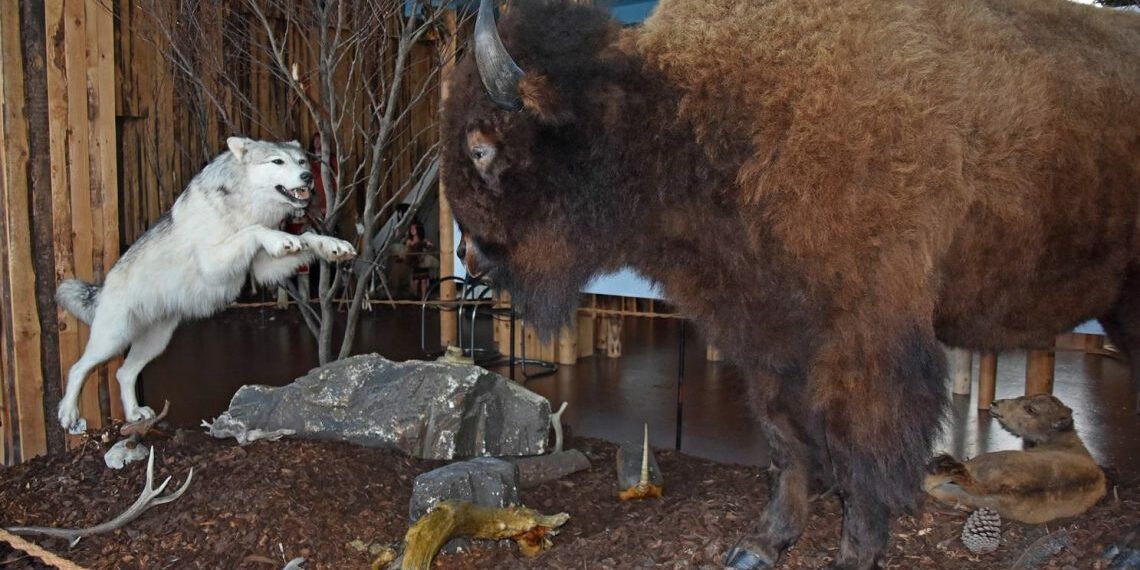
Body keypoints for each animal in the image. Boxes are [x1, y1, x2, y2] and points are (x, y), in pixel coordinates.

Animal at [53, 135, 353, 428]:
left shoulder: (262, 268)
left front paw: (332, 245)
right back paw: (68, 414)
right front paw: (280, 237)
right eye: (277, 161)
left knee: (123, 373)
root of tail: (102, 287)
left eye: (302, 161)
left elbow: (308, 237)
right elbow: (254, 230)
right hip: (112, 340)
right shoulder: (213, 262)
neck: (245, 203)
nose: (308, 177)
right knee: (77, 368)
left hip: (154, 343)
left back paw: (135, 414)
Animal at [440, 1, 1140, 565]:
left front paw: (856, 555)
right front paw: (762, 543)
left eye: (481, 146)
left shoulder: (863, 342)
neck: (697, 115)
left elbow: (859, 451)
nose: (470, 254)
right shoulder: (765, 333)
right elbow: (787, 441)